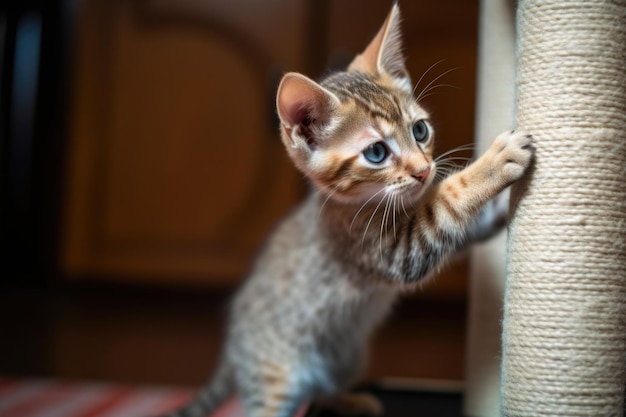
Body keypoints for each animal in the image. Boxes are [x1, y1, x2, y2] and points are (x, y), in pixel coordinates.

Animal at [162, 4, 532, 416]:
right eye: (376, 153)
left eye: (420, 131)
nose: (423, 171)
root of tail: (232, 345)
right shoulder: (387, 249)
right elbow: (448, 200)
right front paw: (495, 163)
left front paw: (500, 206)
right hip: (274, 377)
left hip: (348, 356)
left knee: (322, 389)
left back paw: (351, 400)